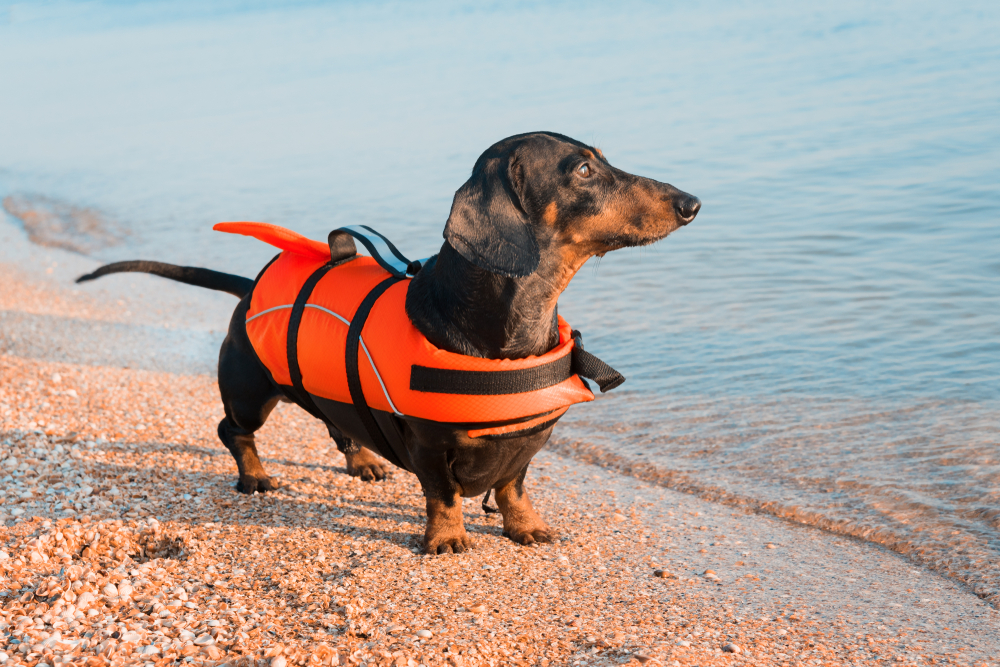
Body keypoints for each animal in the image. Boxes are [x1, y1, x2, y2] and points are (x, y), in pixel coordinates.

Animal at [78, 130, 700, 552]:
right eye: (584, 169)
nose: (691, 203)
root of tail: (249, 286)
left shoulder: (527, 441)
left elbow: (513, 487)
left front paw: (526, 527)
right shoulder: (426, 442)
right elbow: (443, 494)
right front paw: (446, 539)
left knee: (338, 421)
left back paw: (362, 460)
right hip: (249, 391)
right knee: (232, 430)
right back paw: (254, 476)